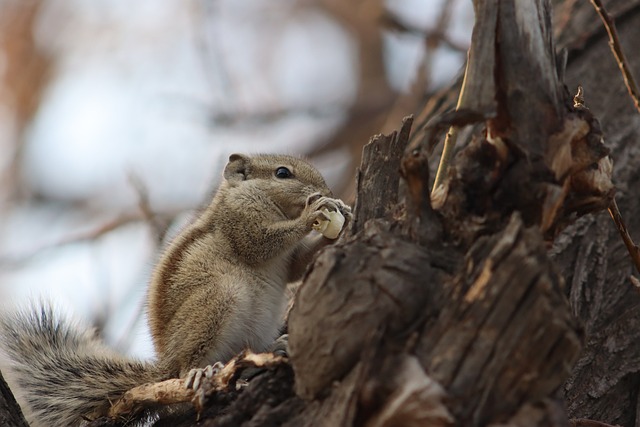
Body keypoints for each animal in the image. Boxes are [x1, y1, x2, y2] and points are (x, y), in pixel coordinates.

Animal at [0, 154, 350, 427]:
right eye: (282, 173)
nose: (327, 191)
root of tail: (162, 368)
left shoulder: (287, 260)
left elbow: (296, 267)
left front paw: (336, 224)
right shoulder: (240, 221)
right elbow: (261, 242)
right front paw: (312, 214)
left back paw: (272, 348)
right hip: (215, 301)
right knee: (186, 366)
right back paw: (198, 372)